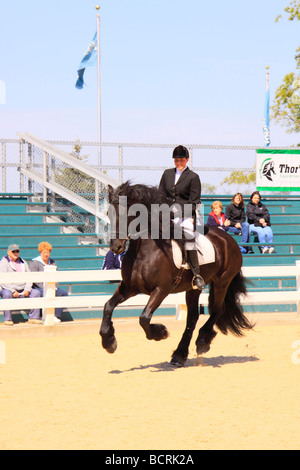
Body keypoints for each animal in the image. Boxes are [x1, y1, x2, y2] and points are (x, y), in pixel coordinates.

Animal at [99, 182, 252, 366]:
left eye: (127, 213)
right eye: (109, 213)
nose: (116, 247)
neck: (143, 250)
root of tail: (228, 239)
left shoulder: (161, 289)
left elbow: (144, 318)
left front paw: (161, 333)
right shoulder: (130, 287)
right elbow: (108, 306)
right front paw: (109, 342)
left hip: (222, 282)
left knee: (217, 309)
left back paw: (202, 341)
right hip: (193, 288)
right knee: (192, 317)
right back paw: (179, 355)